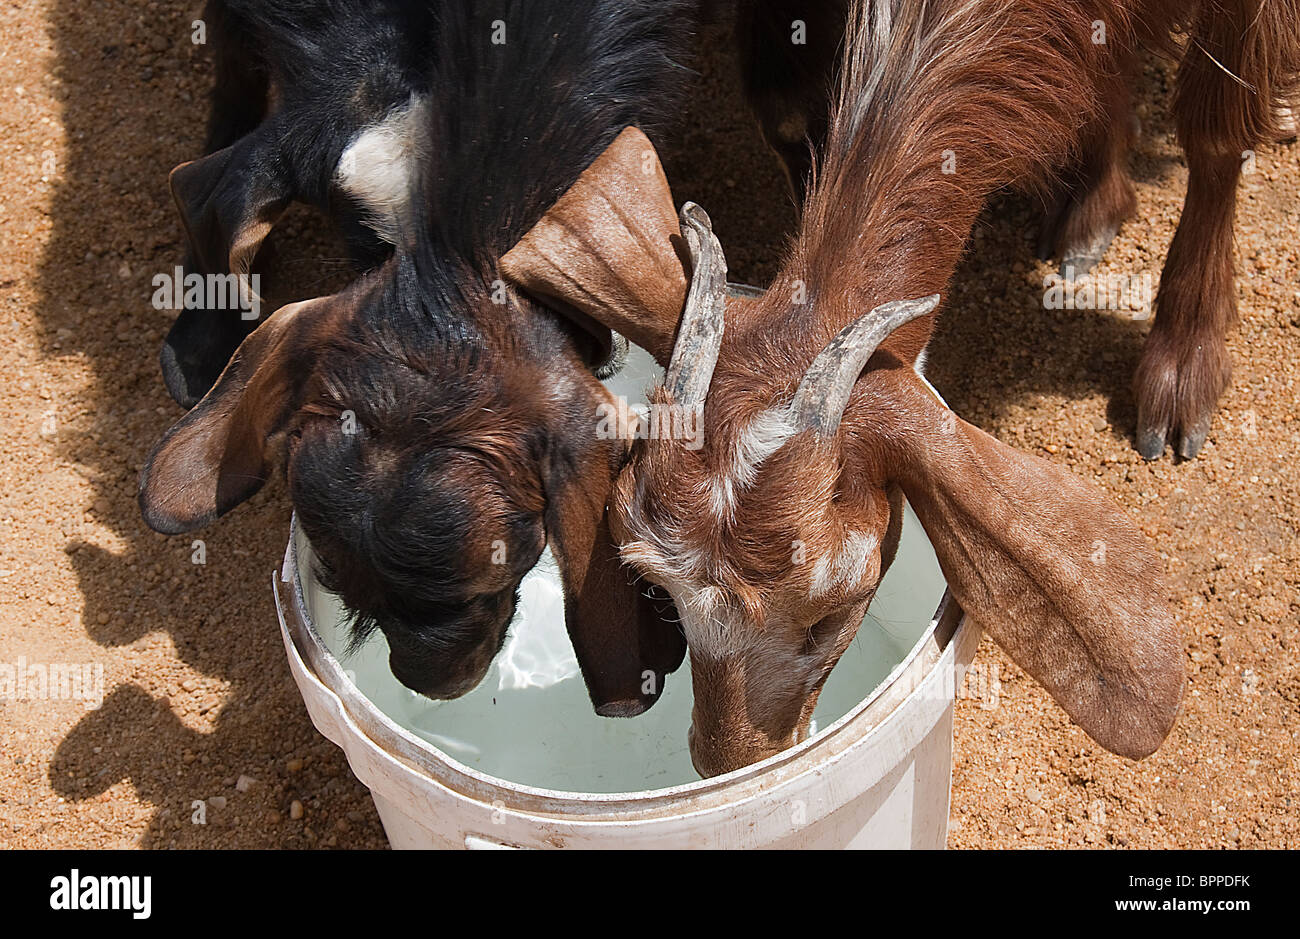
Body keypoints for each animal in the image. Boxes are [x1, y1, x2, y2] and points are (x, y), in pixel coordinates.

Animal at [495, 0, 1300, 775]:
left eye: (835, 610)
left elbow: (1217, 129)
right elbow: (785, 108)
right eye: (658, 590)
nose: (734, 761)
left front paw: (1184, 367)